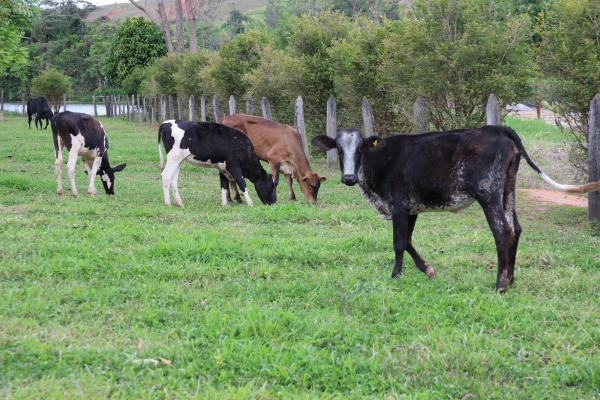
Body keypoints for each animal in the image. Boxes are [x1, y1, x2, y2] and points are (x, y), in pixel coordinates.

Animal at [312, 126, 600, 292]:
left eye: (360, 148)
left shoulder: (398, 205)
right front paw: (425, 270)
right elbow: (408, 241)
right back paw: (511, 279)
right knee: (516, 229)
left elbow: (398, 242)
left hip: (488, 192)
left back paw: (500, 285)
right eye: (339, 149)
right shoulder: (411, 208)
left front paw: (395, 276)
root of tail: (495, 128)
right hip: (508, 188)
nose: (348, 177)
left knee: (502, 232)